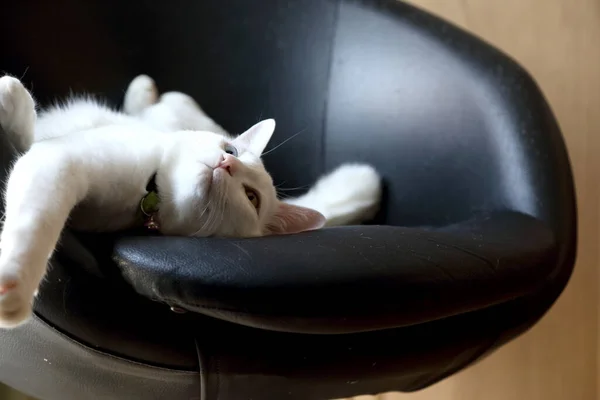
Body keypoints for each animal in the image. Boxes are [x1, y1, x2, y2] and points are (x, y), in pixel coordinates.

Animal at [0, 74, 382, 328]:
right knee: (171, 105)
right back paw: (145, 89)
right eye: (232, 151)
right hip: (168, 118)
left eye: (252, 197)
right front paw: (13, 102)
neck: (147, 190)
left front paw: (13, 283)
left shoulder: (55, 160)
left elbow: (34, 213)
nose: (227, 163)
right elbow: (26, 149)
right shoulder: (58, 154)